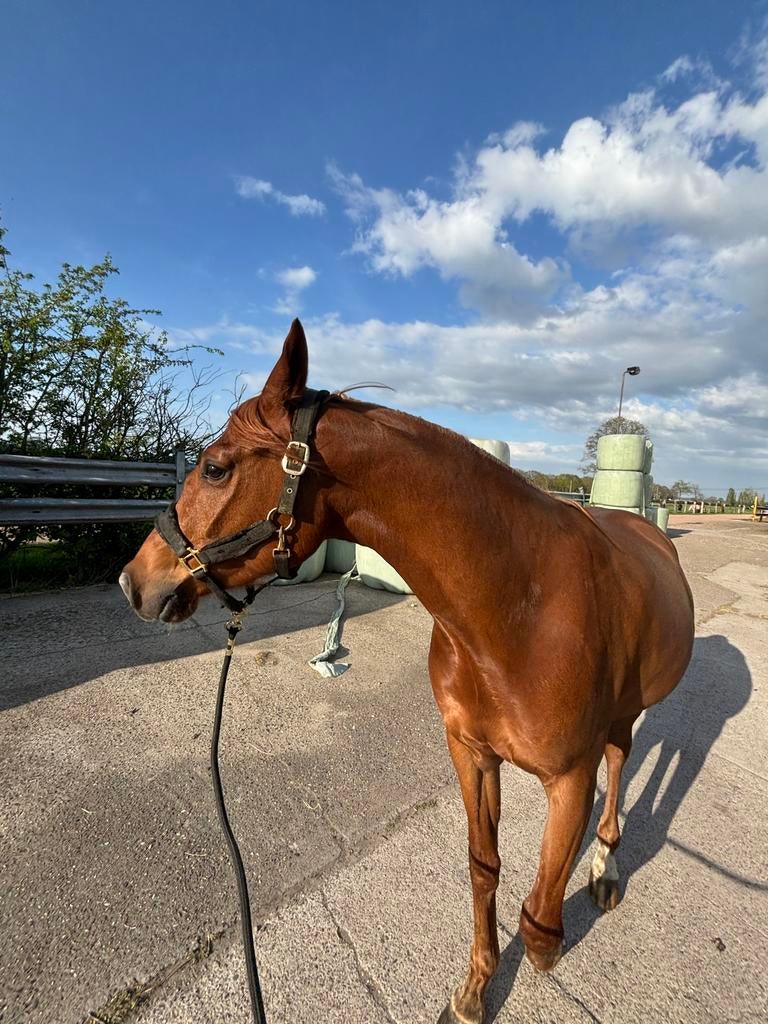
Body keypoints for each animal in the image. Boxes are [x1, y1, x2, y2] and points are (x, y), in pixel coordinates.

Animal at [121, 319, 695, 1024]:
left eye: (215, 467)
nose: (134, 582)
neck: (518, 611)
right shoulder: (471, 752)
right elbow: (483, 866)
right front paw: (475, 987)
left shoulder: (569, 778)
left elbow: (537, 919)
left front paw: (545, 944)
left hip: (621, 718)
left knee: (618, 760)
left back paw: (606, 867)